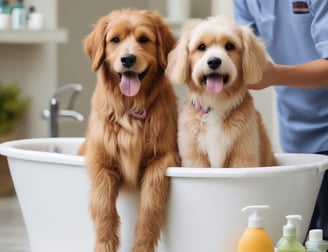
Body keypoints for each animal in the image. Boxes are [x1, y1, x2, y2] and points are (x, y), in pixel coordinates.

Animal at [80, 8, 181, 252]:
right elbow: (104, 208)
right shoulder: (100, 159)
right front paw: (104, 245)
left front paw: (142, 246)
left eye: (144, 39)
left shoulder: (163, 158)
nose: (128, 59)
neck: (130, 108)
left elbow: (150, 207)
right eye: (115, 40)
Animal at [167, 16, 276, 168]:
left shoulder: (244, 156)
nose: (214, 61)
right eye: (201, 47)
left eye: (229, 46)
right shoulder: (194, 158)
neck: (216, 102)